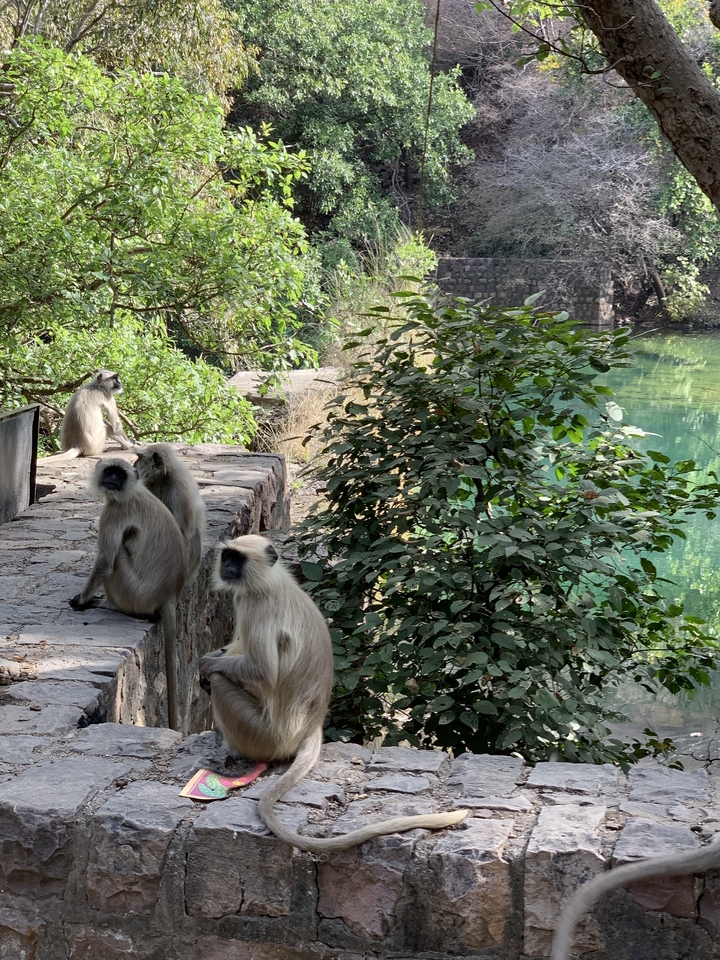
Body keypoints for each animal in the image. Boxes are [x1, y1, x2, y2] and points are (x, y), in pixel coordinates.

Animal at [69, 458, 187, 730]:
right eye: (110, 472)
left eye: (120, 475)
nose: (112, 480)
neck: (132, 491)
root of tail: (169, 595)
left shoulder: (114, 511)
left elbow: (104, 561)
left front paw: (81, 599)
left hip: (133, 593)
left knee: (117, 555)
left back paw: (109, 605)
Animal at [199, 535, 469, 852]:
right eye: (227, 556)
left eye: (238, 559)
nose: (227, 566)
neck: (269, 580)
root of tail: (312, 727)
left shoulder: (256, 606)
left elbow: (262, 670)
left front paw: (206, 664)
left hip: (262, 735)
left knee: (221, 683)